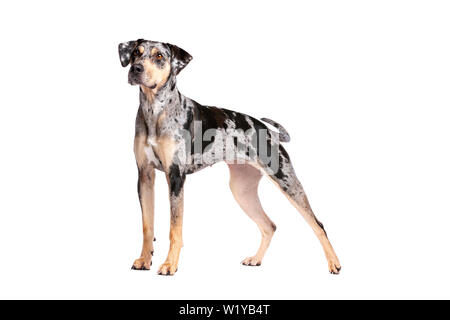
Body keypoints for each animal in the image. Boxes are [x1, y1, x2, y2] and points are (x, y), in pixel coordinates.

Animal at [118, 39, 340, 276]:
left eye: (159, 56)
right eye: (135, 53)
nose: (136, 69)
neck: (155, 112)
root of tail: (269, 132)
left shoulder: (176, 177)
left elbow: (174, 230)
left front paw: (170, 265)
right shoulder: (145, 176)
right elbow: (147, 226)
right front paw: (144, 259)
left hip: (286, 181)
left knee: (318, 225)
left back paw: (334, 263)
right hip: (241, 190)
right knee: (269, 226)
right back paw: (256, 259)